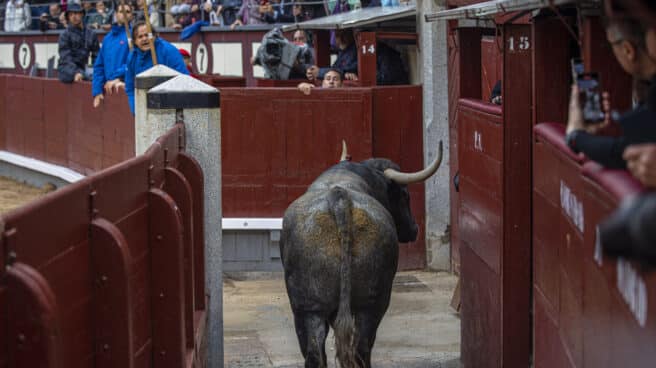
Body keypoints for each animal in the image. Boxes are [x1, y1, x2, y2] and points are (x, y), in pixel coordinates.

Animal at [280, 142, 444, 368]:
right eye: (405, 195)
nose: (414, 229)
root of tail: (339, 199)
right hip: (369, 305)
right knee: (360, 349)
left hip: (308, 308)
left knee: (318, 353)